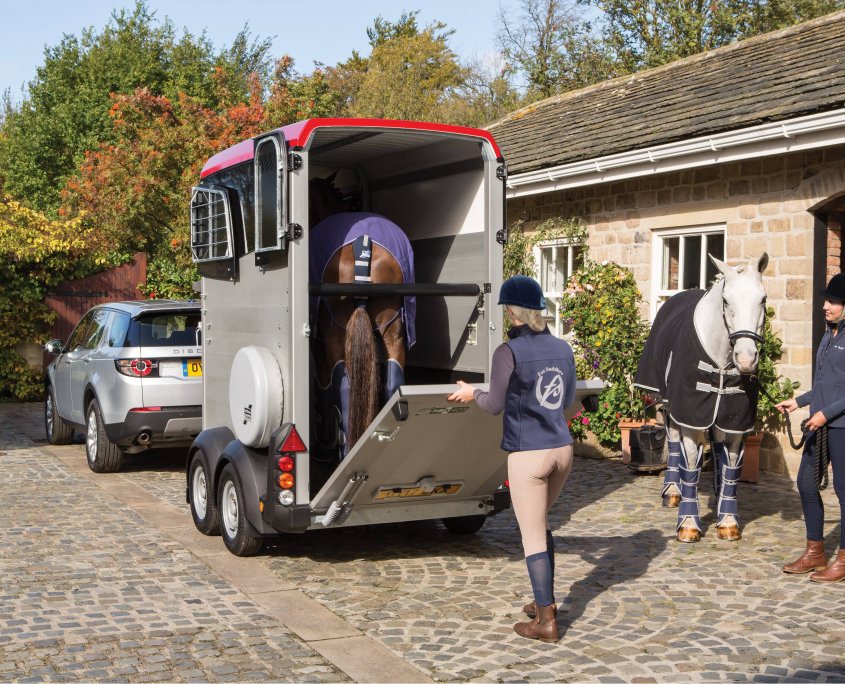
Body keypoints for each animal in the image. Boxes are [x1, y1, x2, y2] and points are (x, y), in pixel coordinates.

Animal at [636, 254, 768, 544]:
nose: (746, 359)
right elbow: (690, 467)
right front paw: (688, 524)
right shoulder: (690, 414)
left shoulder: (735, 420)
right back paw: (673, 491)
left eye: (763, 299)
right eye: (726, 300)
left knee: (716, 446)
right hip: (669, 404)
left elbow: (731, 466)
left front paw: (727, 519)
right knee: (673, 441)